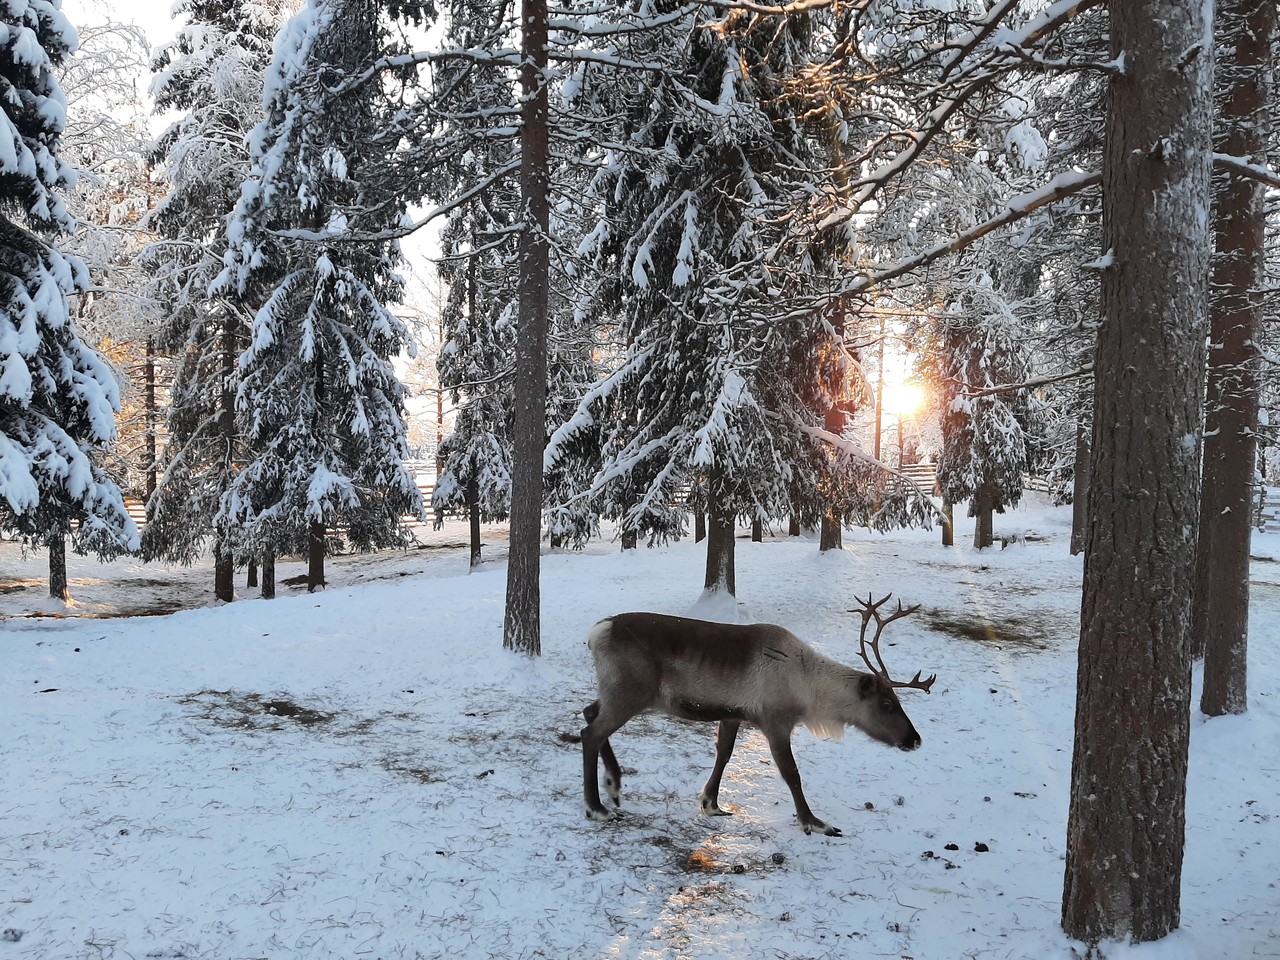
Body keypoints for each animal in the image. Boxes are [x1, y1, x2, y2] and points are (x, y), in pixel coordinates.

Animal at [580, 594, 934, 836]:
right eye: (886, 704)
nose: (915, 739)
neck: (808, 688)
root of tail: (596, 632)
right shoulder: (775, 721)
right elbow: (791, 772)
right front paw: (814, 822)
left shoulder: (732, 715)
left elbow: (724, 754)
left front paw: (712, 804)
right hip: (630, 692)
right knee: (591, 733)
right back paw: (597, 807)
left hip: (617, 691)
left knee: (589, 712)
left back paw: (613, 783)